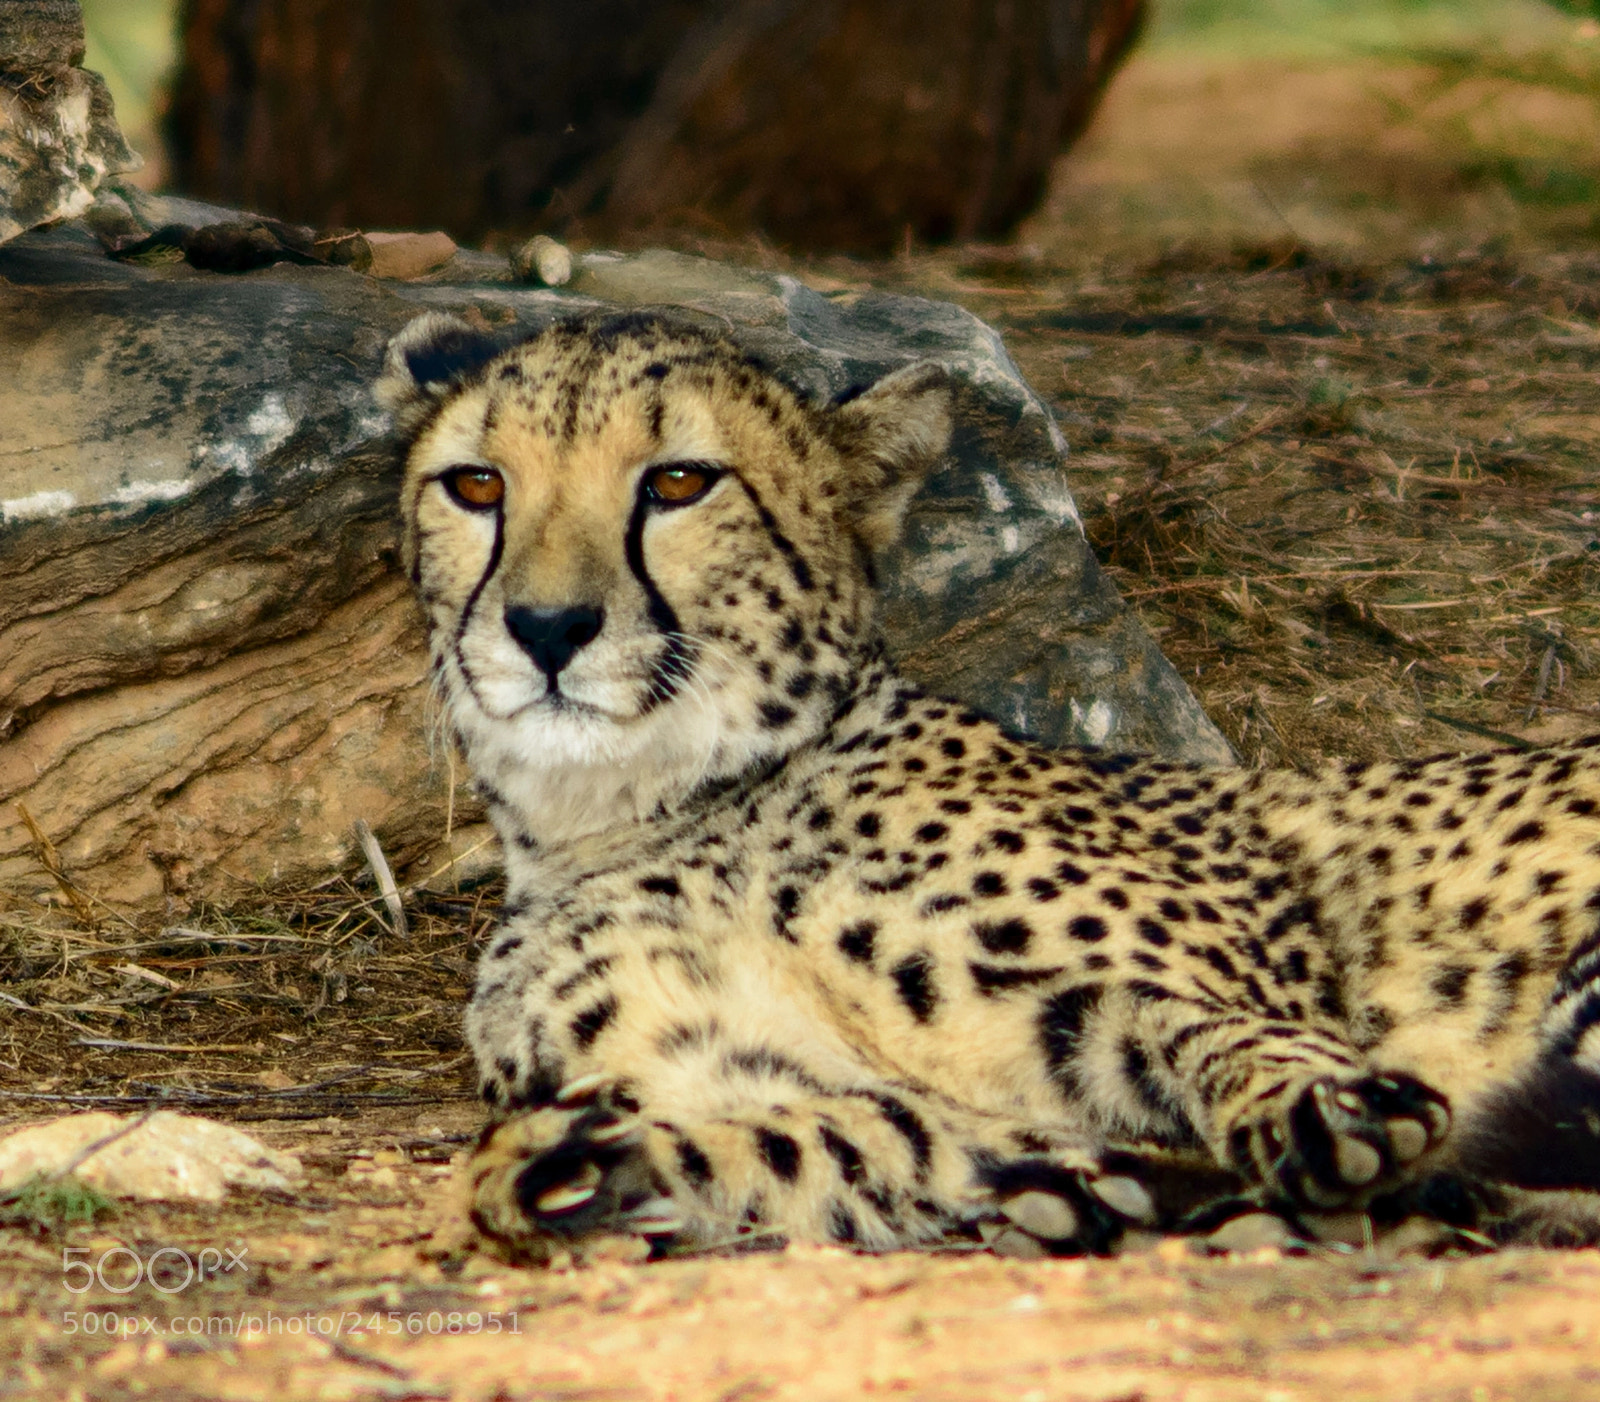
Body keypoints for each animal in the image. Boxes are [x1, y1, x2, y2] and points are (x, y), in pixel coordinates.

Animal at [378, 306, 1600, 1263]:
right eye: (476, 485)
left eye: (678, 482)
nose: (544, 628)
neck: (638, 810)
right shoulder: (840, 1090)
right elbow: (844, 1141)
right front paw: (591, 1173)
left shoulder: (1208, 993)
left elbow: (1169, 1022)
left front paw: (1321, 1109)